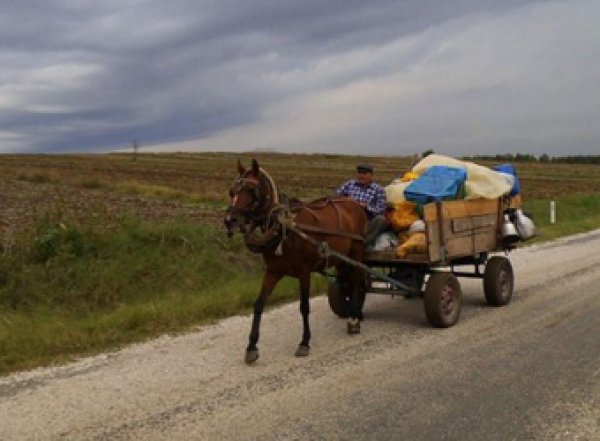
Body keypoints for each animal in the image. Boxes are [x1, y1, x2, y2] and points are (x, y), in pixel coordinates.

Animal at [224, 160, 366, 362]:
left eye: (252, 191)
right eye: (232, 191)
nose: (230, 221)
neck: (284, 226)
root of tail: (354, 202)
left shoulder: (304, 272)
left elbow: (304, 307)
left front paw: (304, 342)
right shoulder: (273, 271)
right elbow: (259, 304)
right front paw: (251, 346)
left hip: (356, 252)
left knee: (358, 282)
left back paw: (354, 319)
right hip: (341, 259)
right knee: (349, 282)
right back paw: (356, 313)